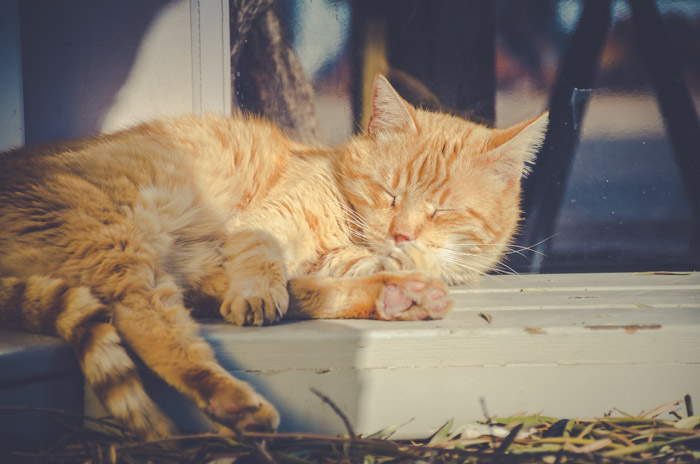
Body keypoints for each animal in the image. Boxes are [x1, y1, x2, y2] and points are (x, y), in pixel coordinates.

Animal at [0, 75, 548, 438]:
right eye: (387, 192)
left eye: (443, 210)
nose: (401, 232)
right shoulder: (264, 222)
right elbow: (263, 255)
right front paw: (262, 290)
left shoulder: (327, 258)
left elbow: (352, 268)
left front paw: (411, 269)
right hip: (122, 243)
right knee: (148, 320)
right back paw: (233, 400)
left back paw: (400, 298)